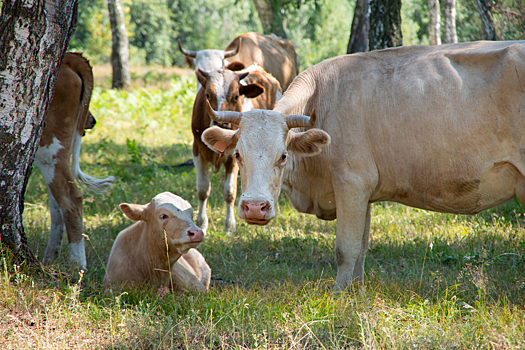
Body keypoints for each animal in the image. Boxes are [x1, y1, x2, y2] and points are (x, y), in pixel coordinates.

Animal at [33, 52, 114, 270]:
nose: (92, 119)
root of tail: (69, 58)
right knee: (56, 204)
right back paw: (50, 258)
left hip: (48, 150)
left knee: (70, 199)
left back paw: (77, 265)